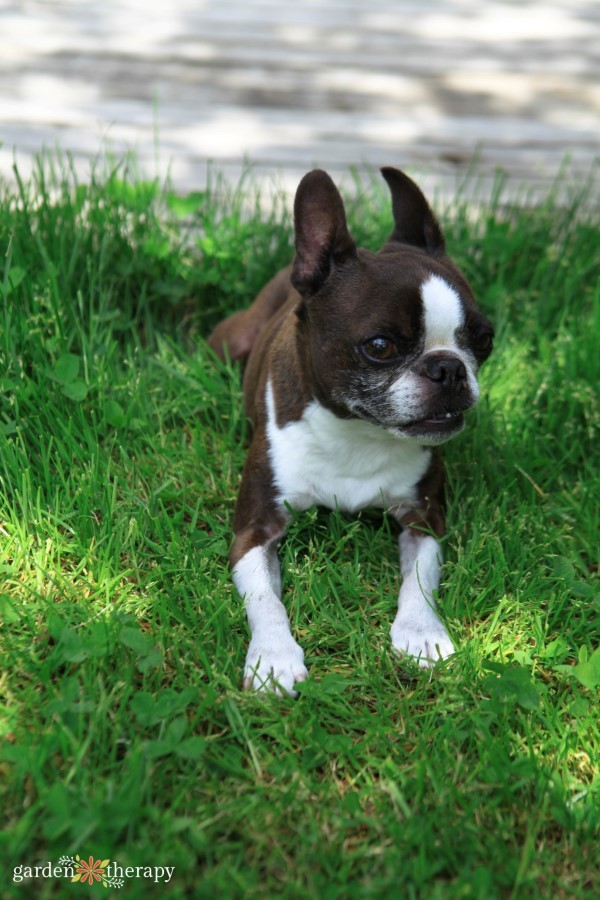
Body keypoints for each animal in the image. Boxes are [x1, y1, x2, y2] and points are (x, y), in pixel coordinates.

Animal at [209, 165, 494, 696]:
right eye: (380, 346)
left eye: (483, 340)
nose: (449, 369)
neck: (357, 433)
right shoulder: (254, 530)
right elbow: (265, 601)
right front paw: (273, 657)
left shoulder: (424, 518)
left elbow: (418, 579)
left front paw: (421, 633)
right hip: (231, 339)